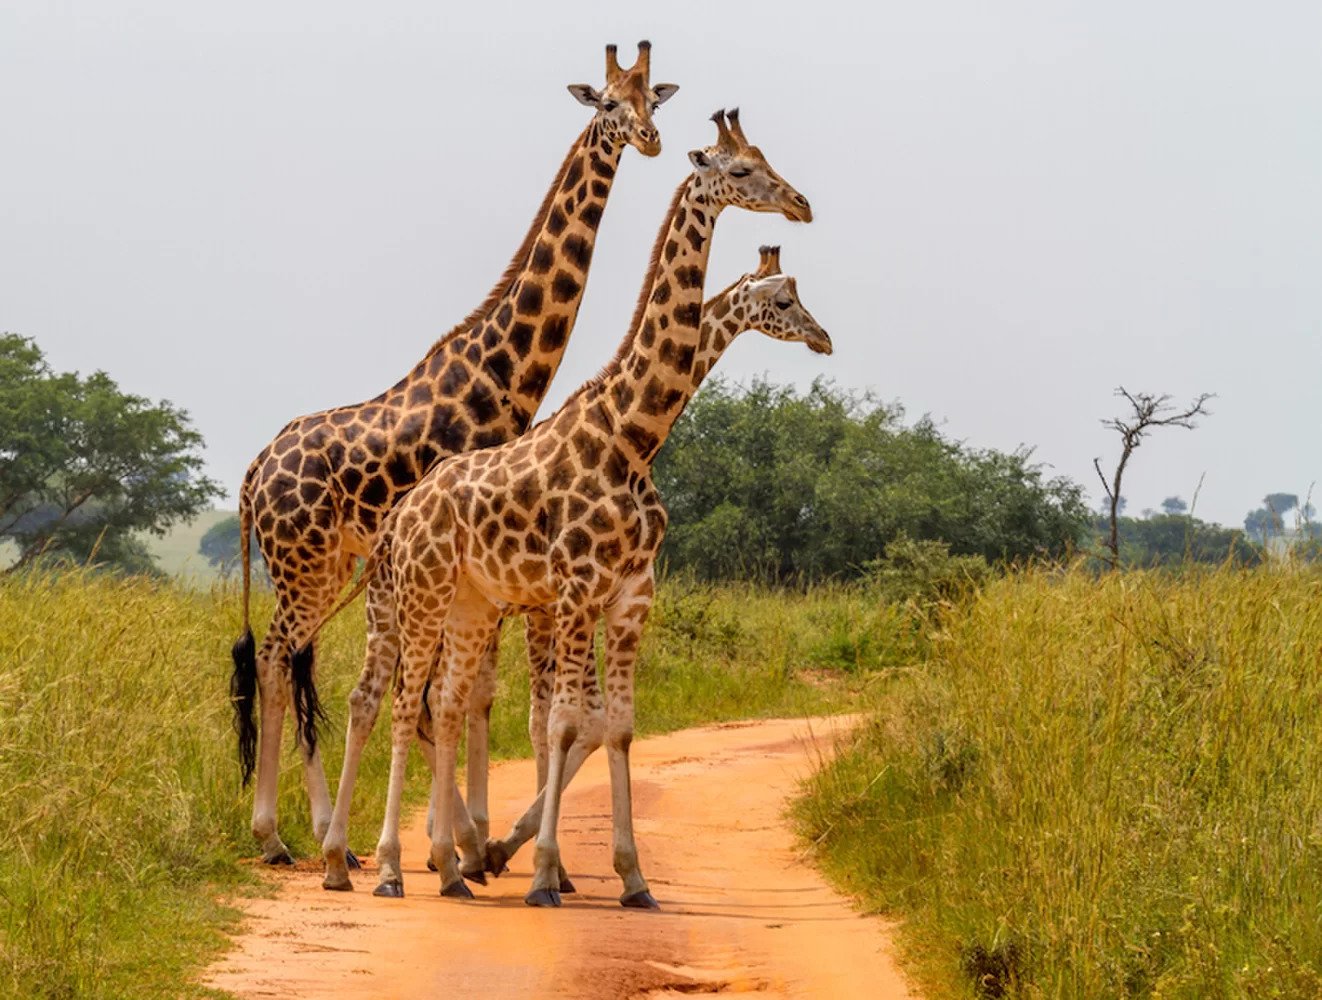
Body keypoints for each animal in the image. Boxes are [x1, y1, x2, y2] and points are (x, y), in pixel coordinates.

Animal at [228, 41, 676, 867]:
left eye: (650, 101)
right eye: (607, 103)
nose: (650, 140)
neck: (501, 375)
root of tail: (250, 476)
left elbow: (472, 694)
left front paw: (467, 838)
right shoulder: (478, 561)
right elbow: (462, 695)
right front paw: (464, 841)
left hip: (322, 569)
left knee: (295, 660)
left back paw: (317, 833)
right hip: (306, 566)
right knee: (277, 657)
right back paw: (277, 834)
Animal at [321, 107, 819, 899]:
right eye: (741, 169)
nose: (801, 203)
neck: (632, 434)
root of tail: (403, 514)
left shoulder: (629, 594)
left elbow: (609, 724)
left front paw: (626, 876)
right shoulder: (570, 594)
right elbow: (557, 722)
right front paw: (539, 868)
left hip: (466, 605)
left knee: (440, 702)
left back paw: (443, 862)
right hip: (412, 602)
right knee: (393, 701)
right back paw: (384, 862)